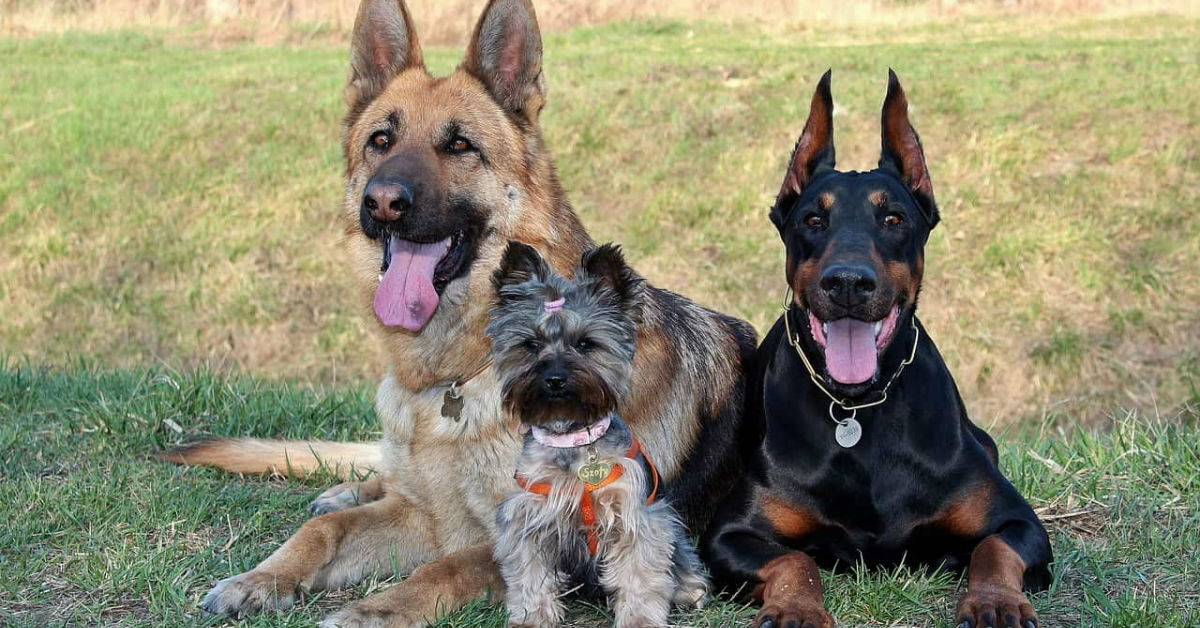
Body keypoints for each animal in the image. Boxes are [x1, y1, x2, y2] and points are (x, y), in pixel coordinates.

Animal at [162, 2, 748, 624]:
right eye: (381, 140)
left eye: (460, 145)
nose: (383, 201)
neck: (456, 379)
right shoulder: (426, 516)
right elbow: (326, 531)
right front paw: (262, 578)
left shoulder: (511, 531)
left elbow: (439, 571)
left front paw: (371, 611)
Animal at [700, 69, 1051, 628]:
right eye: (812, 220)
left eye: (893, 219)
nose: (847, 282)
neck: (859, 407)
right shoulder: (728, 535)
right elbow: (795, 560)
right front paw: (796, 609)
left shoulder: (1019, 521)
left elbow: (993, 548)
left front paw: (995, 601)